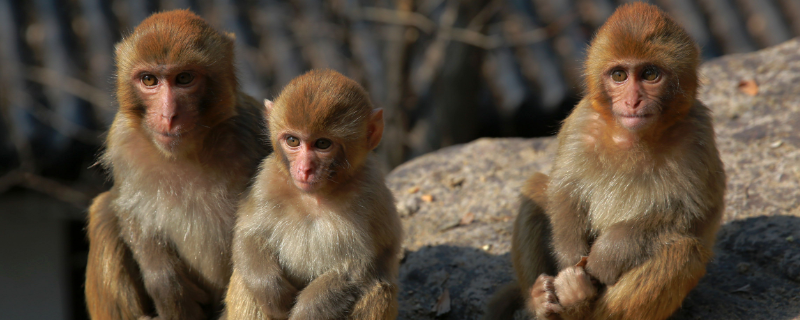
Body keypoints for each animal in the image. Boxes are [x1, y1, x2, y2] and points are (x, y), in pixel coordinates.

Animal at [85, 10, 268, 320]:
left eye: (184, 78)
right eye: (149, 80)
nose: (168, 115)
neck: (187, 153)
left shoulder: (252, 135)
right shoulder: (122, 141)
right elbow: (129, 209)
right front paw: (164, 282)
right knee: (104, 211)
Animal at [223, 70, 400, 320]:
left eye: (322, 144)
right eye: (293, 141)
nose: (304, 169)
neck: (314, 197)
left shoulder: (371, 195)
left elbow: (357, 268)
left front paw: (307, 312)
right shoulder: (267, 181)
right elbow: (248, 236)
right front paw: (272, 291)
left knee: (378, 289)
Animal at [484, 3, 728, 320]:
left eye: (650, 74)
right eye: (619, 76)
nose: (633, 101)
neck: (633, 138)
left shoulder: (697, 136)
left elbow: (690, 213)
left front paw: (607, 255)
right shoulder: (581, 123)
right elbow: (564, 189)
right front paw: (568, 255)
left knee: (683, 251)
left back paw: (579, 295)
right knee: (537, 189)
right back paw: (541, 300)